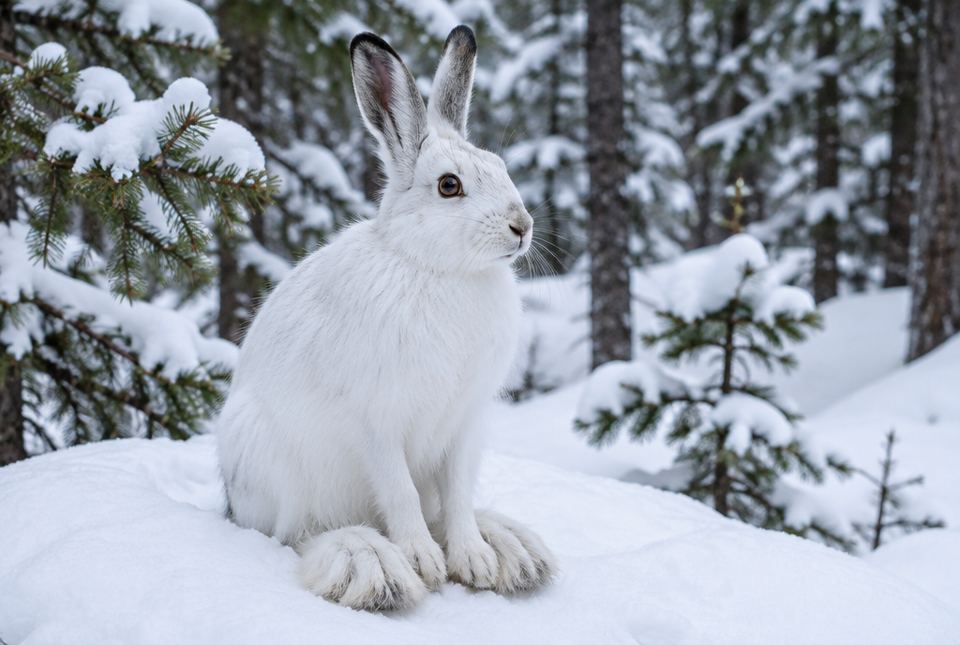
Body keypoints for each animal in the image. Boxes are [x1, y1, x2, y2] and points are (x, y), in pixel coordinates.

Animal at [216, 25, 554, 612]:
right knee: (300, 532)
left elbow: (458, 496)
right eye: (449, 185)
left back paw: (509, 549)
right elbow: (399, 493)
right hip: (273, 464)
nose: (522, 226)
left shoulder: (465, 424)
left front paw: (475, 561)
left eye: (501, 168)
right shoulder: (376, 422)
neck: (437, 267)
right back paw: (371, 566)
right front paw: (424, 564)